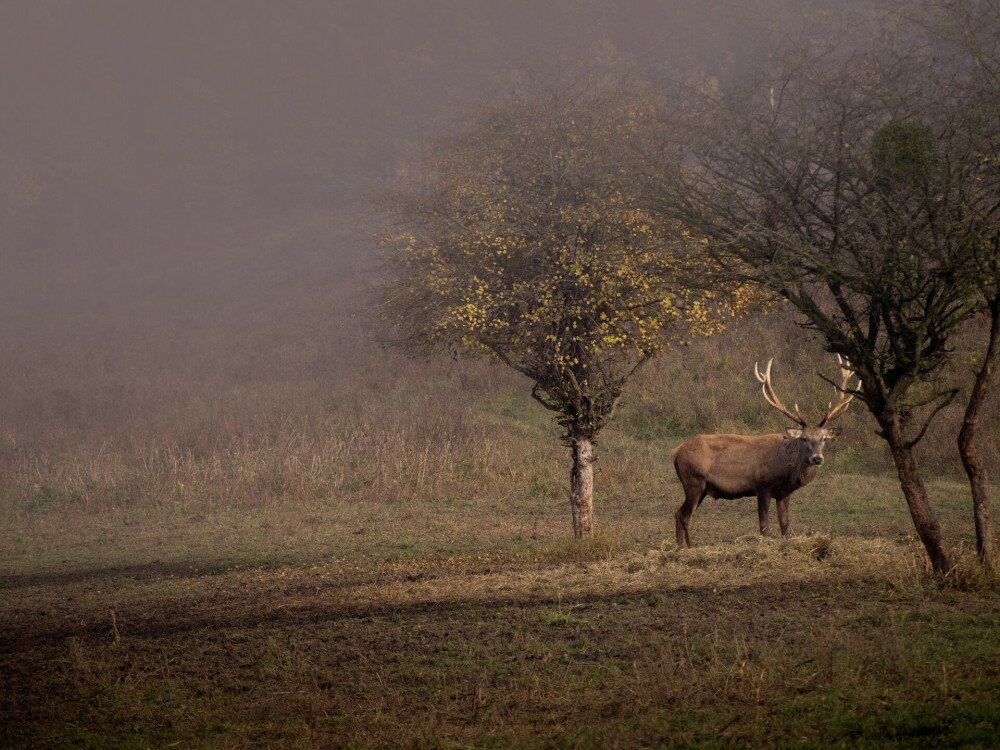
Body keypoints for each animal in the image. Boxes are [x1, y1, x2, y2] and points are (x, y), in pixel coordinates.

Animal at [668, 358, 856, 548]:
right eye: (804, 438)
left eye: (824, 438)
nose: (817, 458)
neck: (785, 467)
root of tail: (676, 452)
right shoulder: (762, 486)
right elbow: (764, 526)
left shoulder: (783, 493)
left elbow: (784, 523)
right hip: (694, 481)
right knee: (685, 516)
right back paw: (690, 546)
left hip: (702, 487)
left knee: (678, 513)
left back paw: (678, 547)